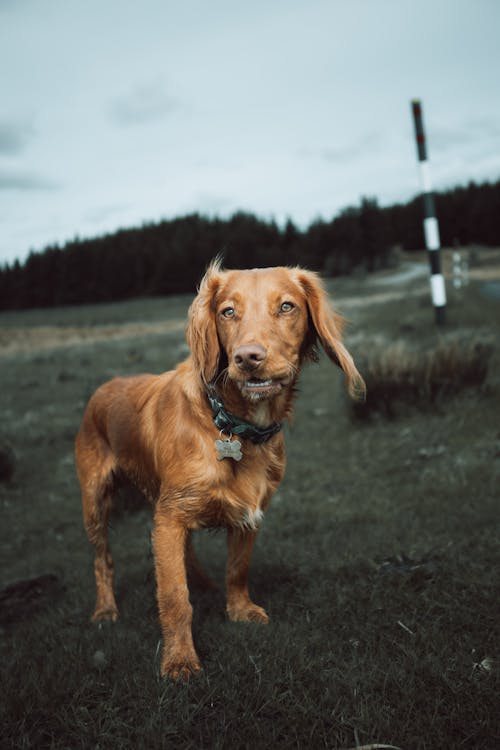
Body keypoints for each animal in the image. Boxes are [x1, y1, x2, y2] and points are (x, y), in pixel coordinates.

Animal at [75, 260, 364, 680]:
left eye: (287, 307)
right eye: (228, 312)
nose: (247, 358)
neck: (232, 424)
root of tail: (104, 387)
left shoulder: (249, 513)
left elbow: (236, 569)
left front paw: (238, 610)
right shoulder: (169, 518)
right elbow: (174, 596)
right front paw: (179, 660)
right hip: (95, 503)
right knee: (103, 560)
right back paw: (105, 610)